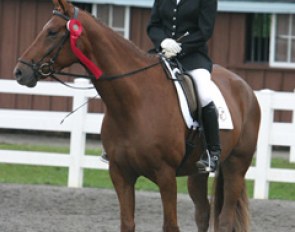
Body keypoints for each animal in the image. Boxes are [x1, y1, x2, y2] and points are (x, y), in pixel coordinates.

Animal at [13, 0, 262, 231]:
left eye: (52, 32)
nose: (20, 72)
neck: (134, 103)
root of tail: (246, 88)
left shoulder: (166, 175)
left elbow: (170, 225)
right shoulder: (121, 174)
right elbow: (127, 223)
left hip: (235, 166)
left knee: (225, 219)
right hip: (197, 172)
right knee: (203, 214)